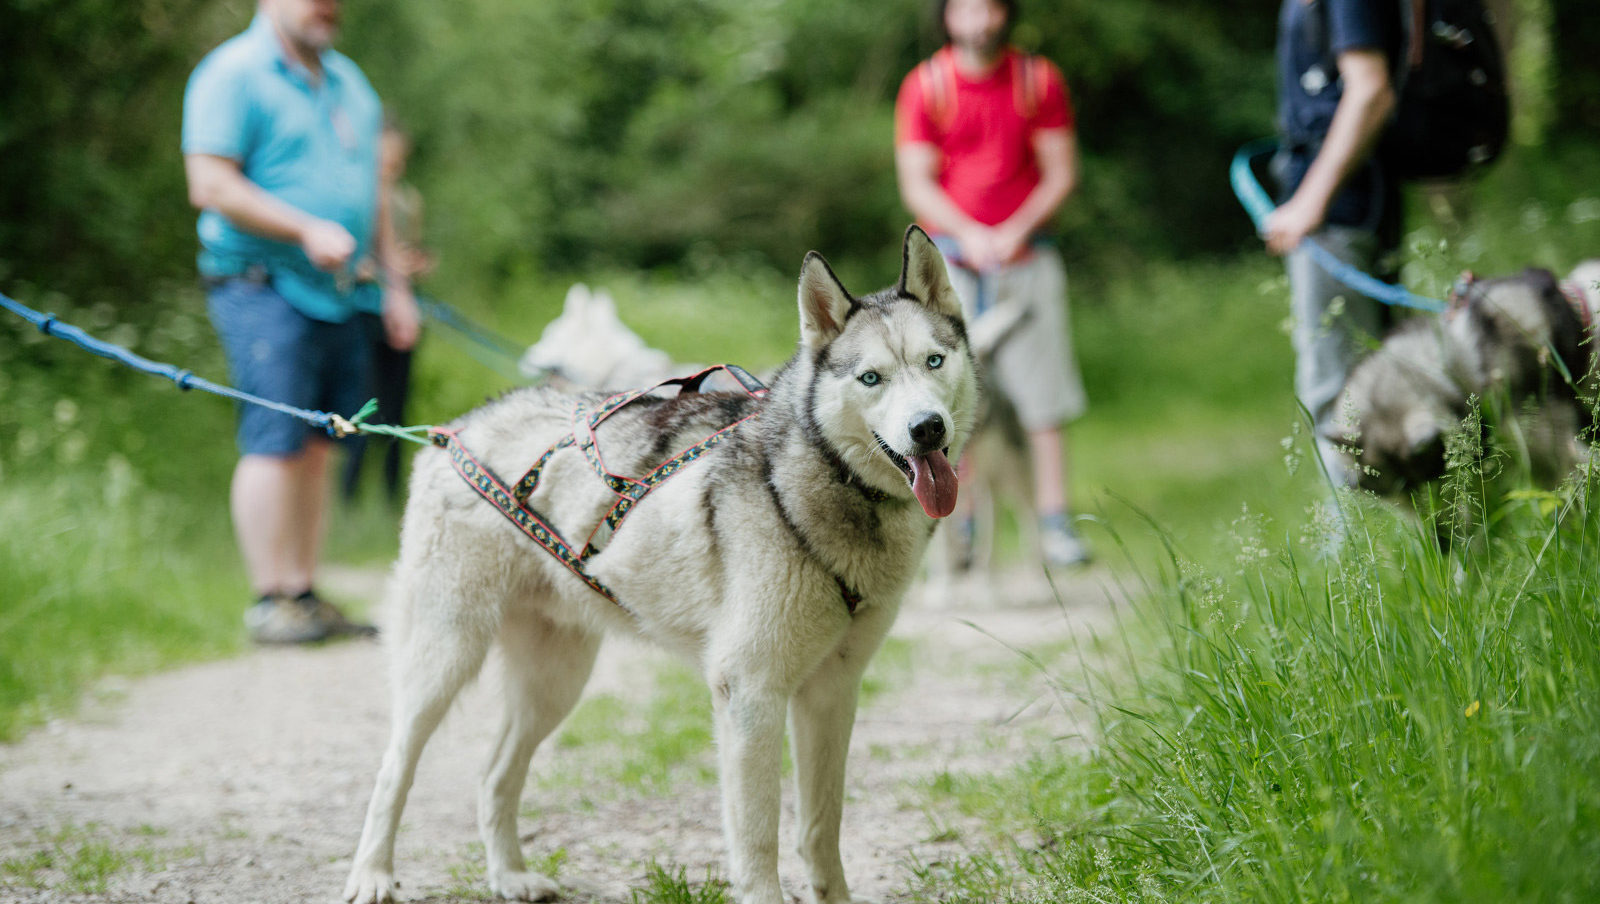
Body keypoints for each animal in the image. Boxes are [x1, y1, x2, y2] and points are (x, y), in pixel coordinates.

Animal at [344, 225, 979, 902]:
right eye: (870, 378)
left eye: (934, 362)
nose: (927, 428)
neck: (818, 482)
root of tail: (454, 427)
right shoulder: (750, 694)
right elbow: (760, 839)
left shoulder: (831, 692)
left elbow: (820, 830)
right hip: (444, 659)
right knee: (394, 768)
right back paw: (373, 875)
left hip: (554, 684)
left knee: (493, 775)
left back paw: (509, 875)